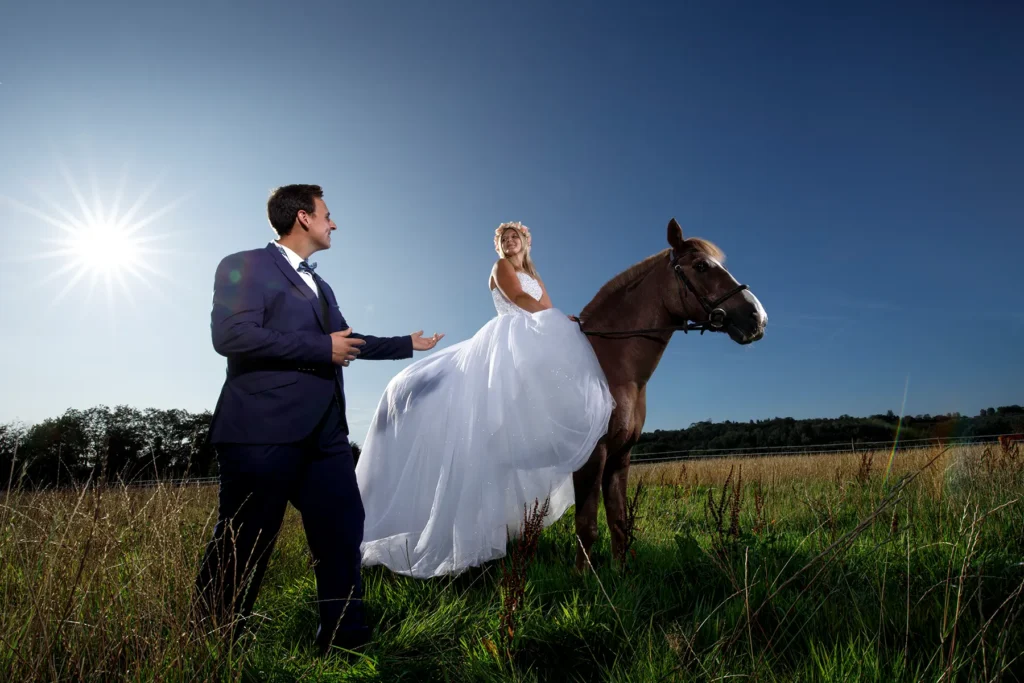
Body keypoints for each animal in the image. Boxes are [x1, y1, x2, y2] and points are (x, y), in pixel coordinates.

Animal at [573, 220, 765, 573]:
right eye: (701, 266)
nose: (757, 318)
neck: (611, 365)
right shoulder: (593, 455)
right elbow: (587, 527)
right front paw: (581, 580)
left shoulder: (620, 456)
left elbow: (619, 522)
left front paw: (619, 574)